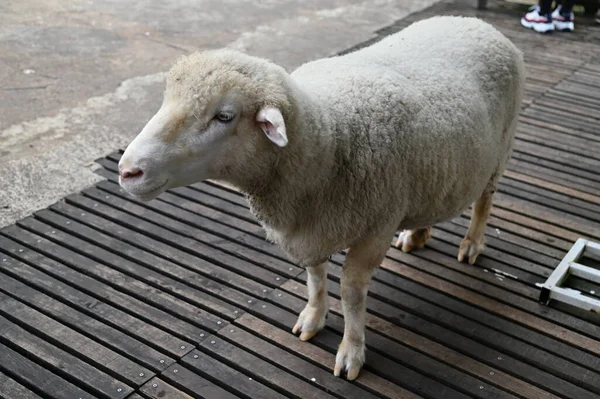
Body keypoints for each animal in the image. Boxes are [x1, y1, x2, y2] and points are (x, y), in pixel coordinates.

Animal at [117, 16, 524, 382]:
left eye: (224, 116)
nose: (127, 170)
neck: (329, 136)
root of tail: (476, 21)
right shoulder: (313, 227)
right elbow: (314, 276)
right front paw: (312, 317)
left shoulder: (376, 230)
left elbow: (351, 293)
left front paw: (351, 351)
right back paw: (418, 234)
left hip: (499, 153)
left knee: (485, 202)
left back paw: (472, 244)